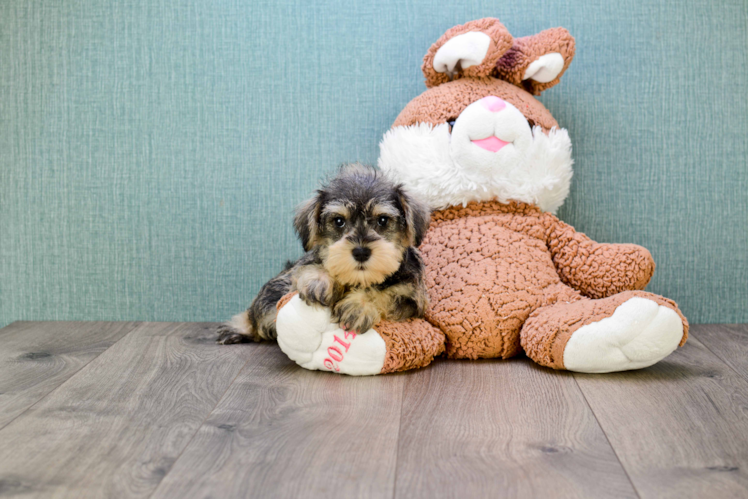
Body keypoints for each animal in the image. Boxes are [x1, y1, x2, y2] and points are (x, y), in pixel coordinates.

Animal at [216, 163, 430, 344]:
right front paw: (319, 280)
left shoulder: (411, 298)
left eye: (383, 220)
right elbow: (312, 265)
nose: (361, 252)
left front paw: (358, 306)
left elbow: (385, 293)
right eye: (338, 221)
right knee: (256, 315)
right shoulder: (293, 274)